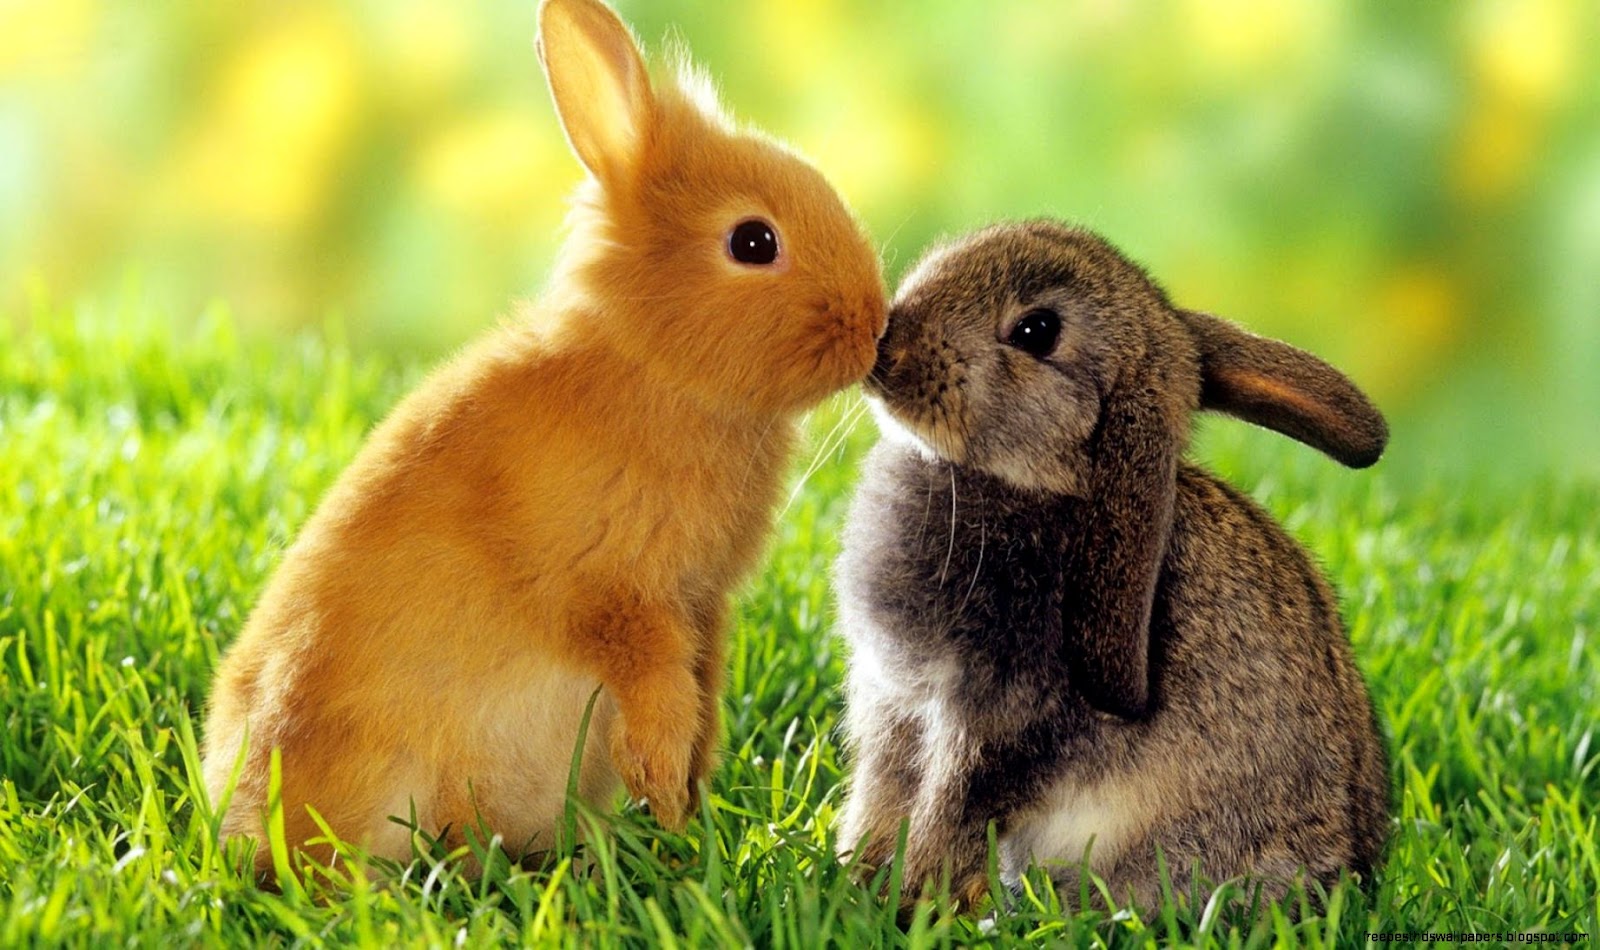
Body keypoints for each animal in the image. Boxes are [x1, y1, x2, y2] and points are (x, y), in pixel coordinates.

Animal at [201, 0, 886, 876]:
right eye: (754, 242)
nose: (874, 325)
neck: (651, 368)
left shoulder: (703, 607)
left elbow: (703, 693)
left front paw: (688, 805)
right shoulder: (615, 595)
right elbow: (656, 686)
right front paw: (665, 793)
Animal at [832, 219, 1390, 911]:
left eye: (1036, 331)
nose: (889, 347)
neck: (1048, 483)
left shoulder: (998, 721)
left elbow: (949, 814)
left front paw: (907, 903)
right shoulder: (894, 705)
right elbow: (880, 800)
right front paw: (852, 880)